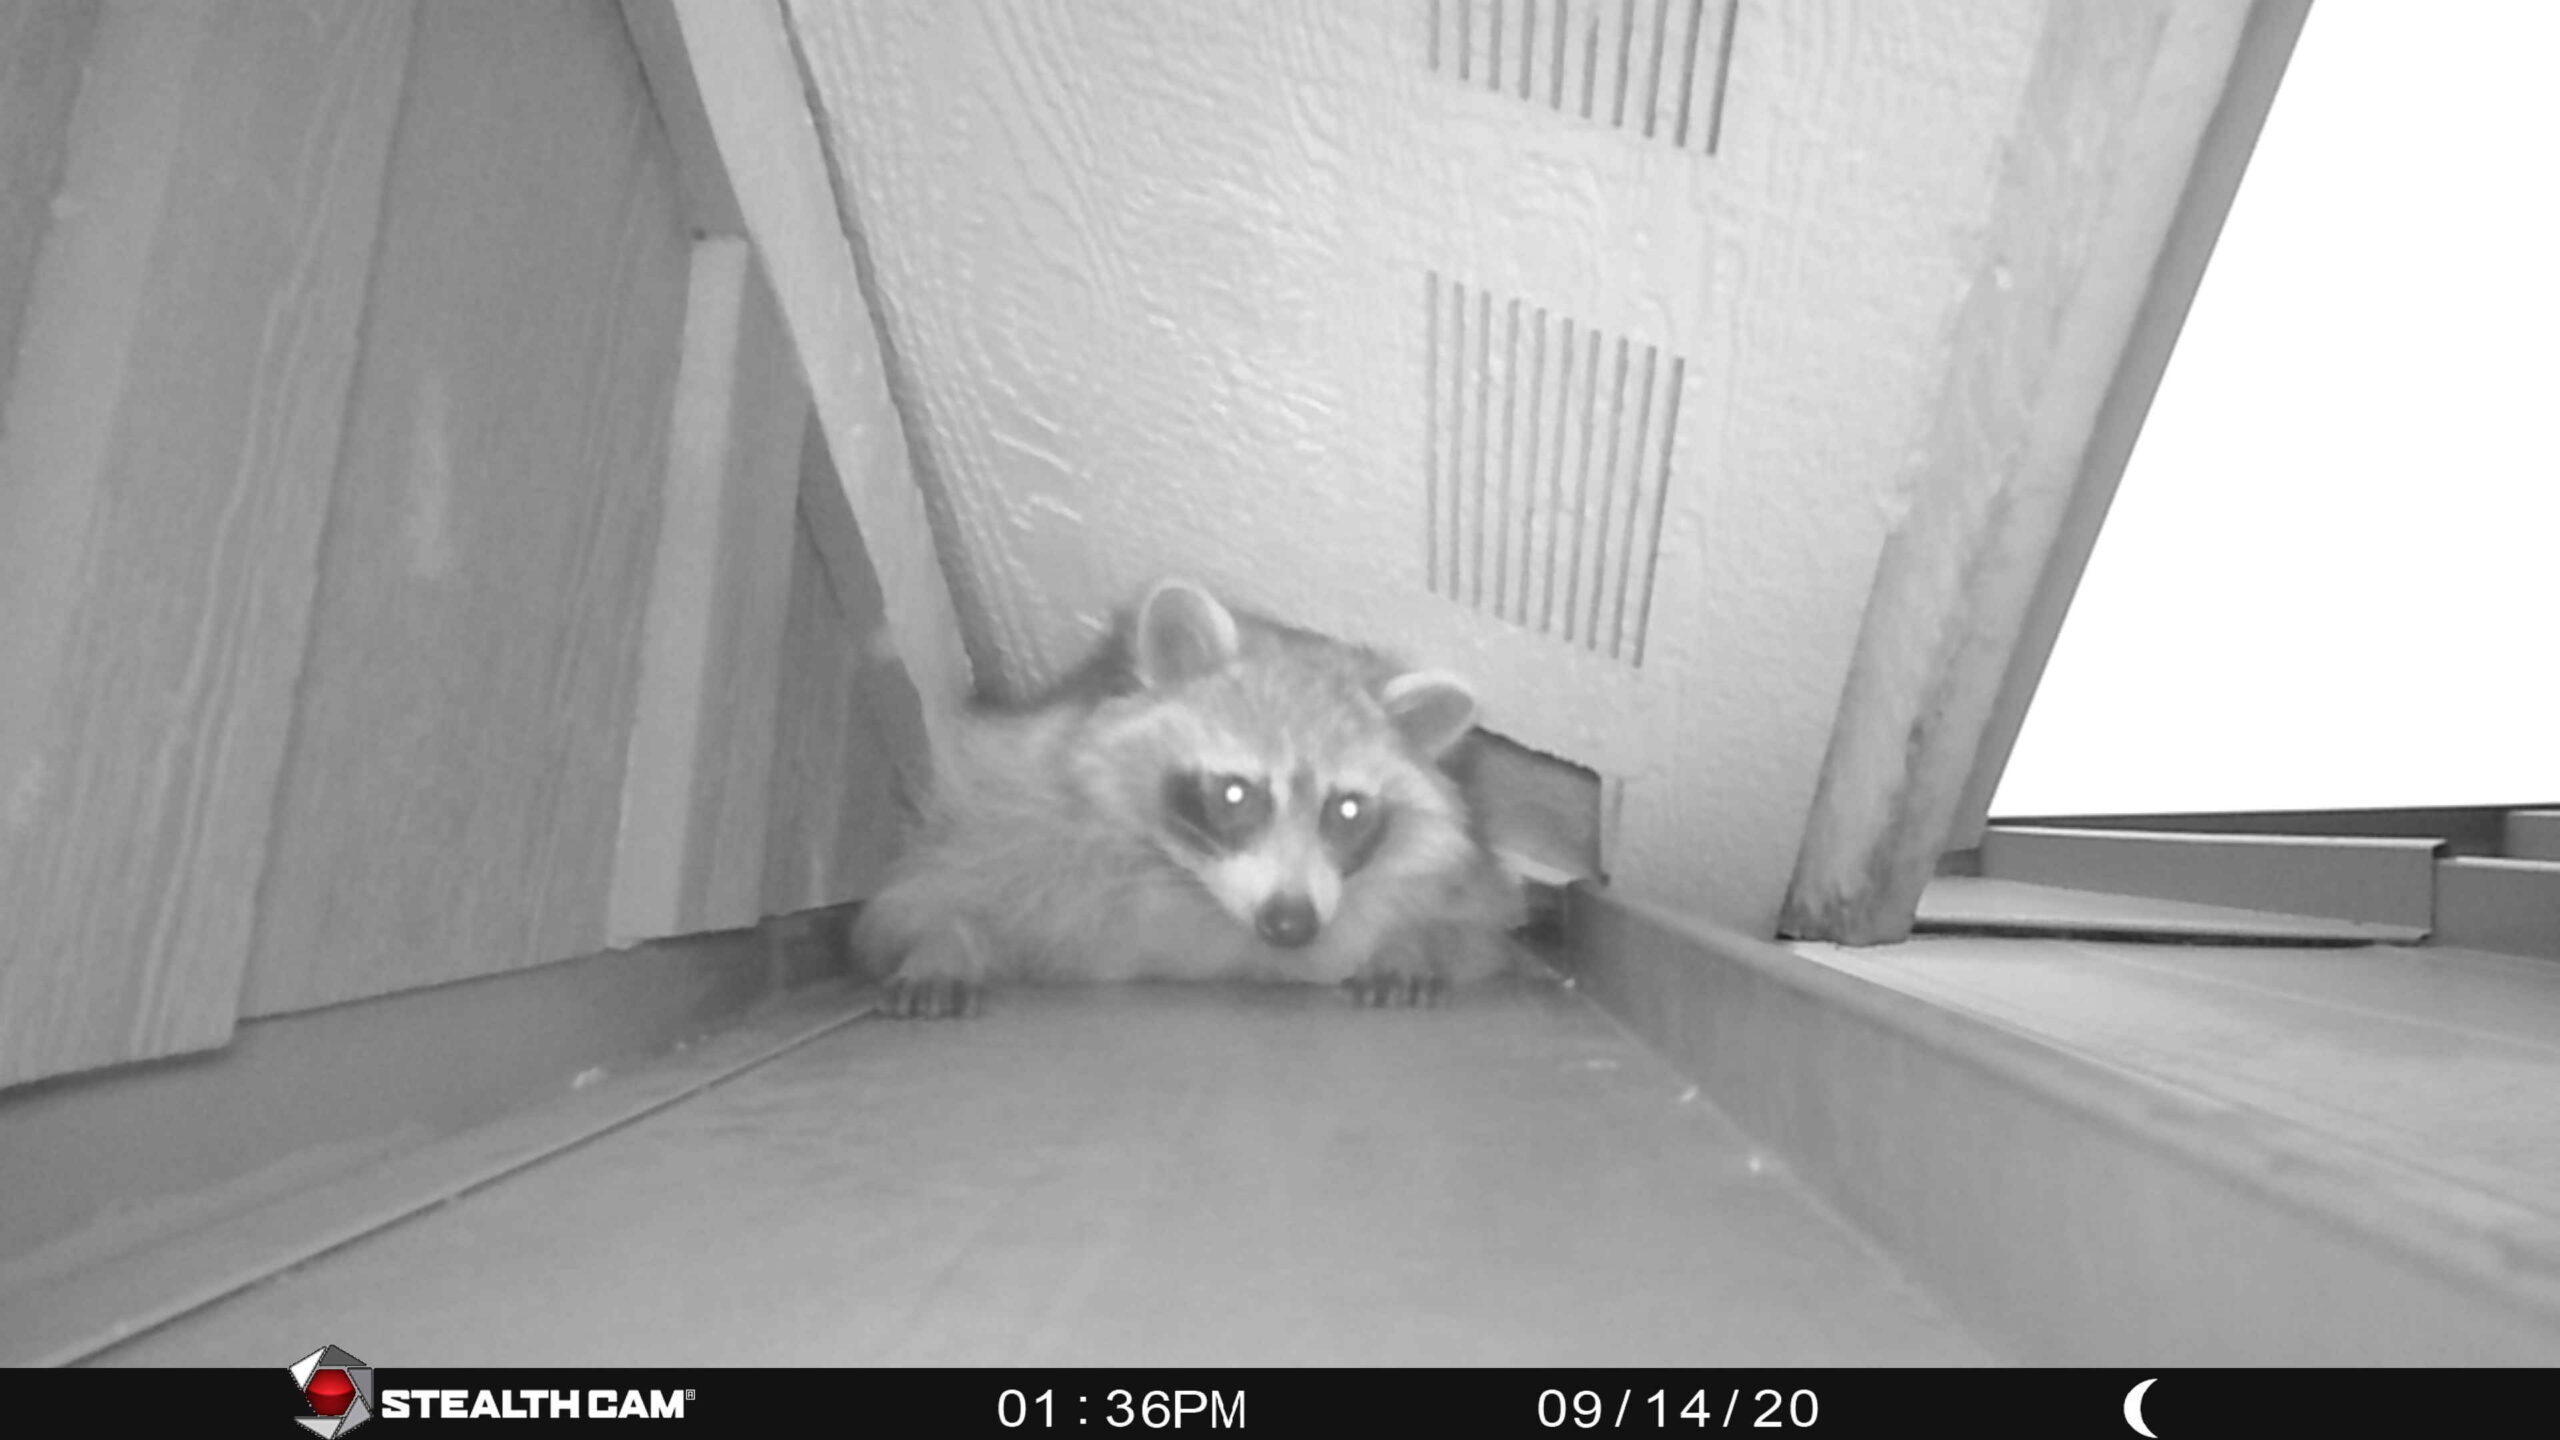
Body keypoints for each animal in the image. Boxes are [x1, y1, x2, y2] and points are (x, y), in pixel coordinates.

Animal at [852, 578, 1528, 1017]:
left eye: (1348, 809)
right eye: (1234, 792)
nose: (1291, 925)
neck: (1194, 891)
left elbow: (1470, 929)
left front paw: (1409, 942)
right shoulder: (1011, 794)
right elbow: (925, 889)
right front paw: (941, 942)